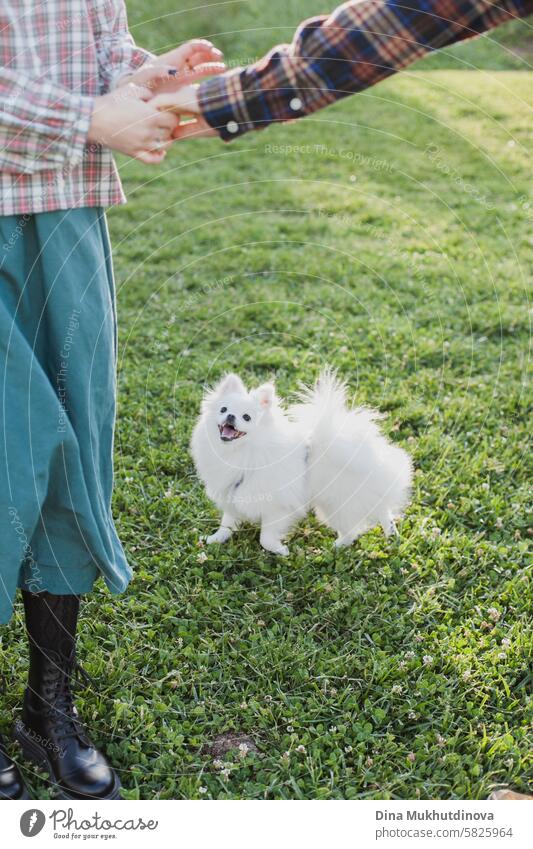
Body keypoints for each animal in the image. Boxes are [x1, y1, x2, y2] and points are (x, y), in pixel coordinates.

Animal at [189, 368, 414, 552]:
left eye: (246, 417)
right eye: (223, 409)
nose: (230, 417)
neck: (239, 452)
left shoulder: (278, 507)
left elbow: (265, 538)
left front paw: (280, 551)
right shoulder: (232, 493)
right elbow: (227, 522)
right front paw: (217, 538)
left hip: (337, 504)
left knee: (353, 529)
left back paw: (337, 546)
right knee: (381, 509)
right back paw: (390, 532)